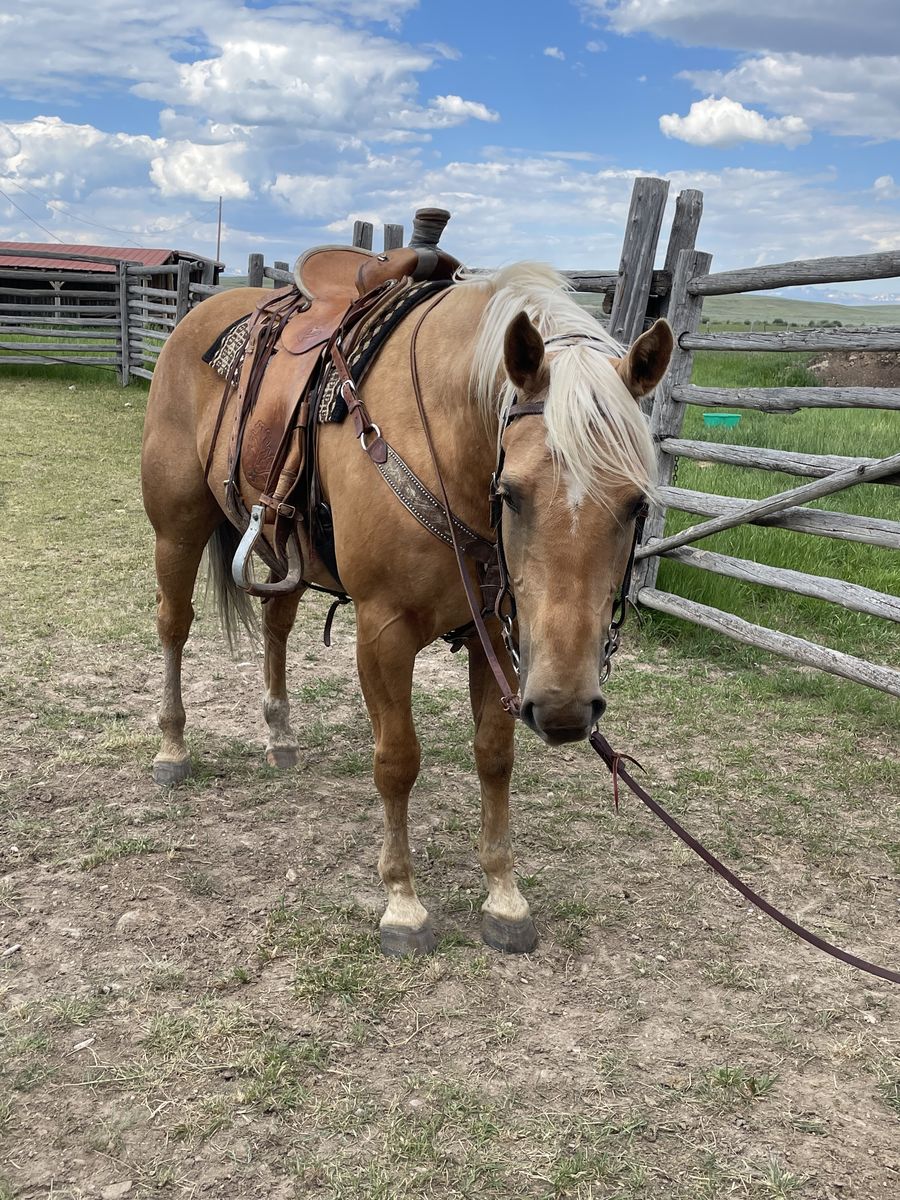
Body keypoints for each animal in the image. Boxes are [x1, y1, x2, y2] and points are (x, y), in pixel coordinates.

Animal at [140, 262, 673, 956]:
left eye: (637, 503)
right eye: (513, 493)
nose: (564, 711)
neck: (441, 441)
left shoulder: (496, 635)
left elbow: (494, 754)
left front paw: (504, 895)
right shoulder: (382, 632)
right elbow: (397, 761)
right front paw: (403, 902)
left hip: (286, 553)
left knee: (276, 626)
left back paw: (279, 735)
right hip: (176, 530)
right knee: (174, 626)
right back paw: (172, 748)